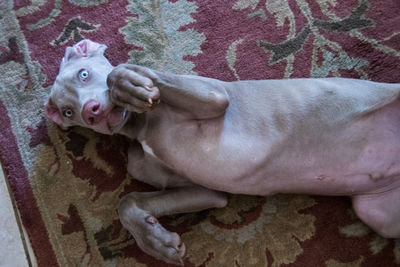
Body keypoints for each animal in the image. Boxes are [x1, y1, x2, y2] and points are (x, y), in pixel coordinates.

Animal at [45, 40, 398, 266]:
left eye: (84, 74)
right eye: (67, 111)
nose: (90, 112)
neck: (140, 128)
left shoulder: (214, 96)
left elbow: (120, 72)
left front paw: (127, 83)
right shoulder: (203, 191)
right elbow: (127, 201)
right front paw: (155, 241)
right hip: (378, 214)